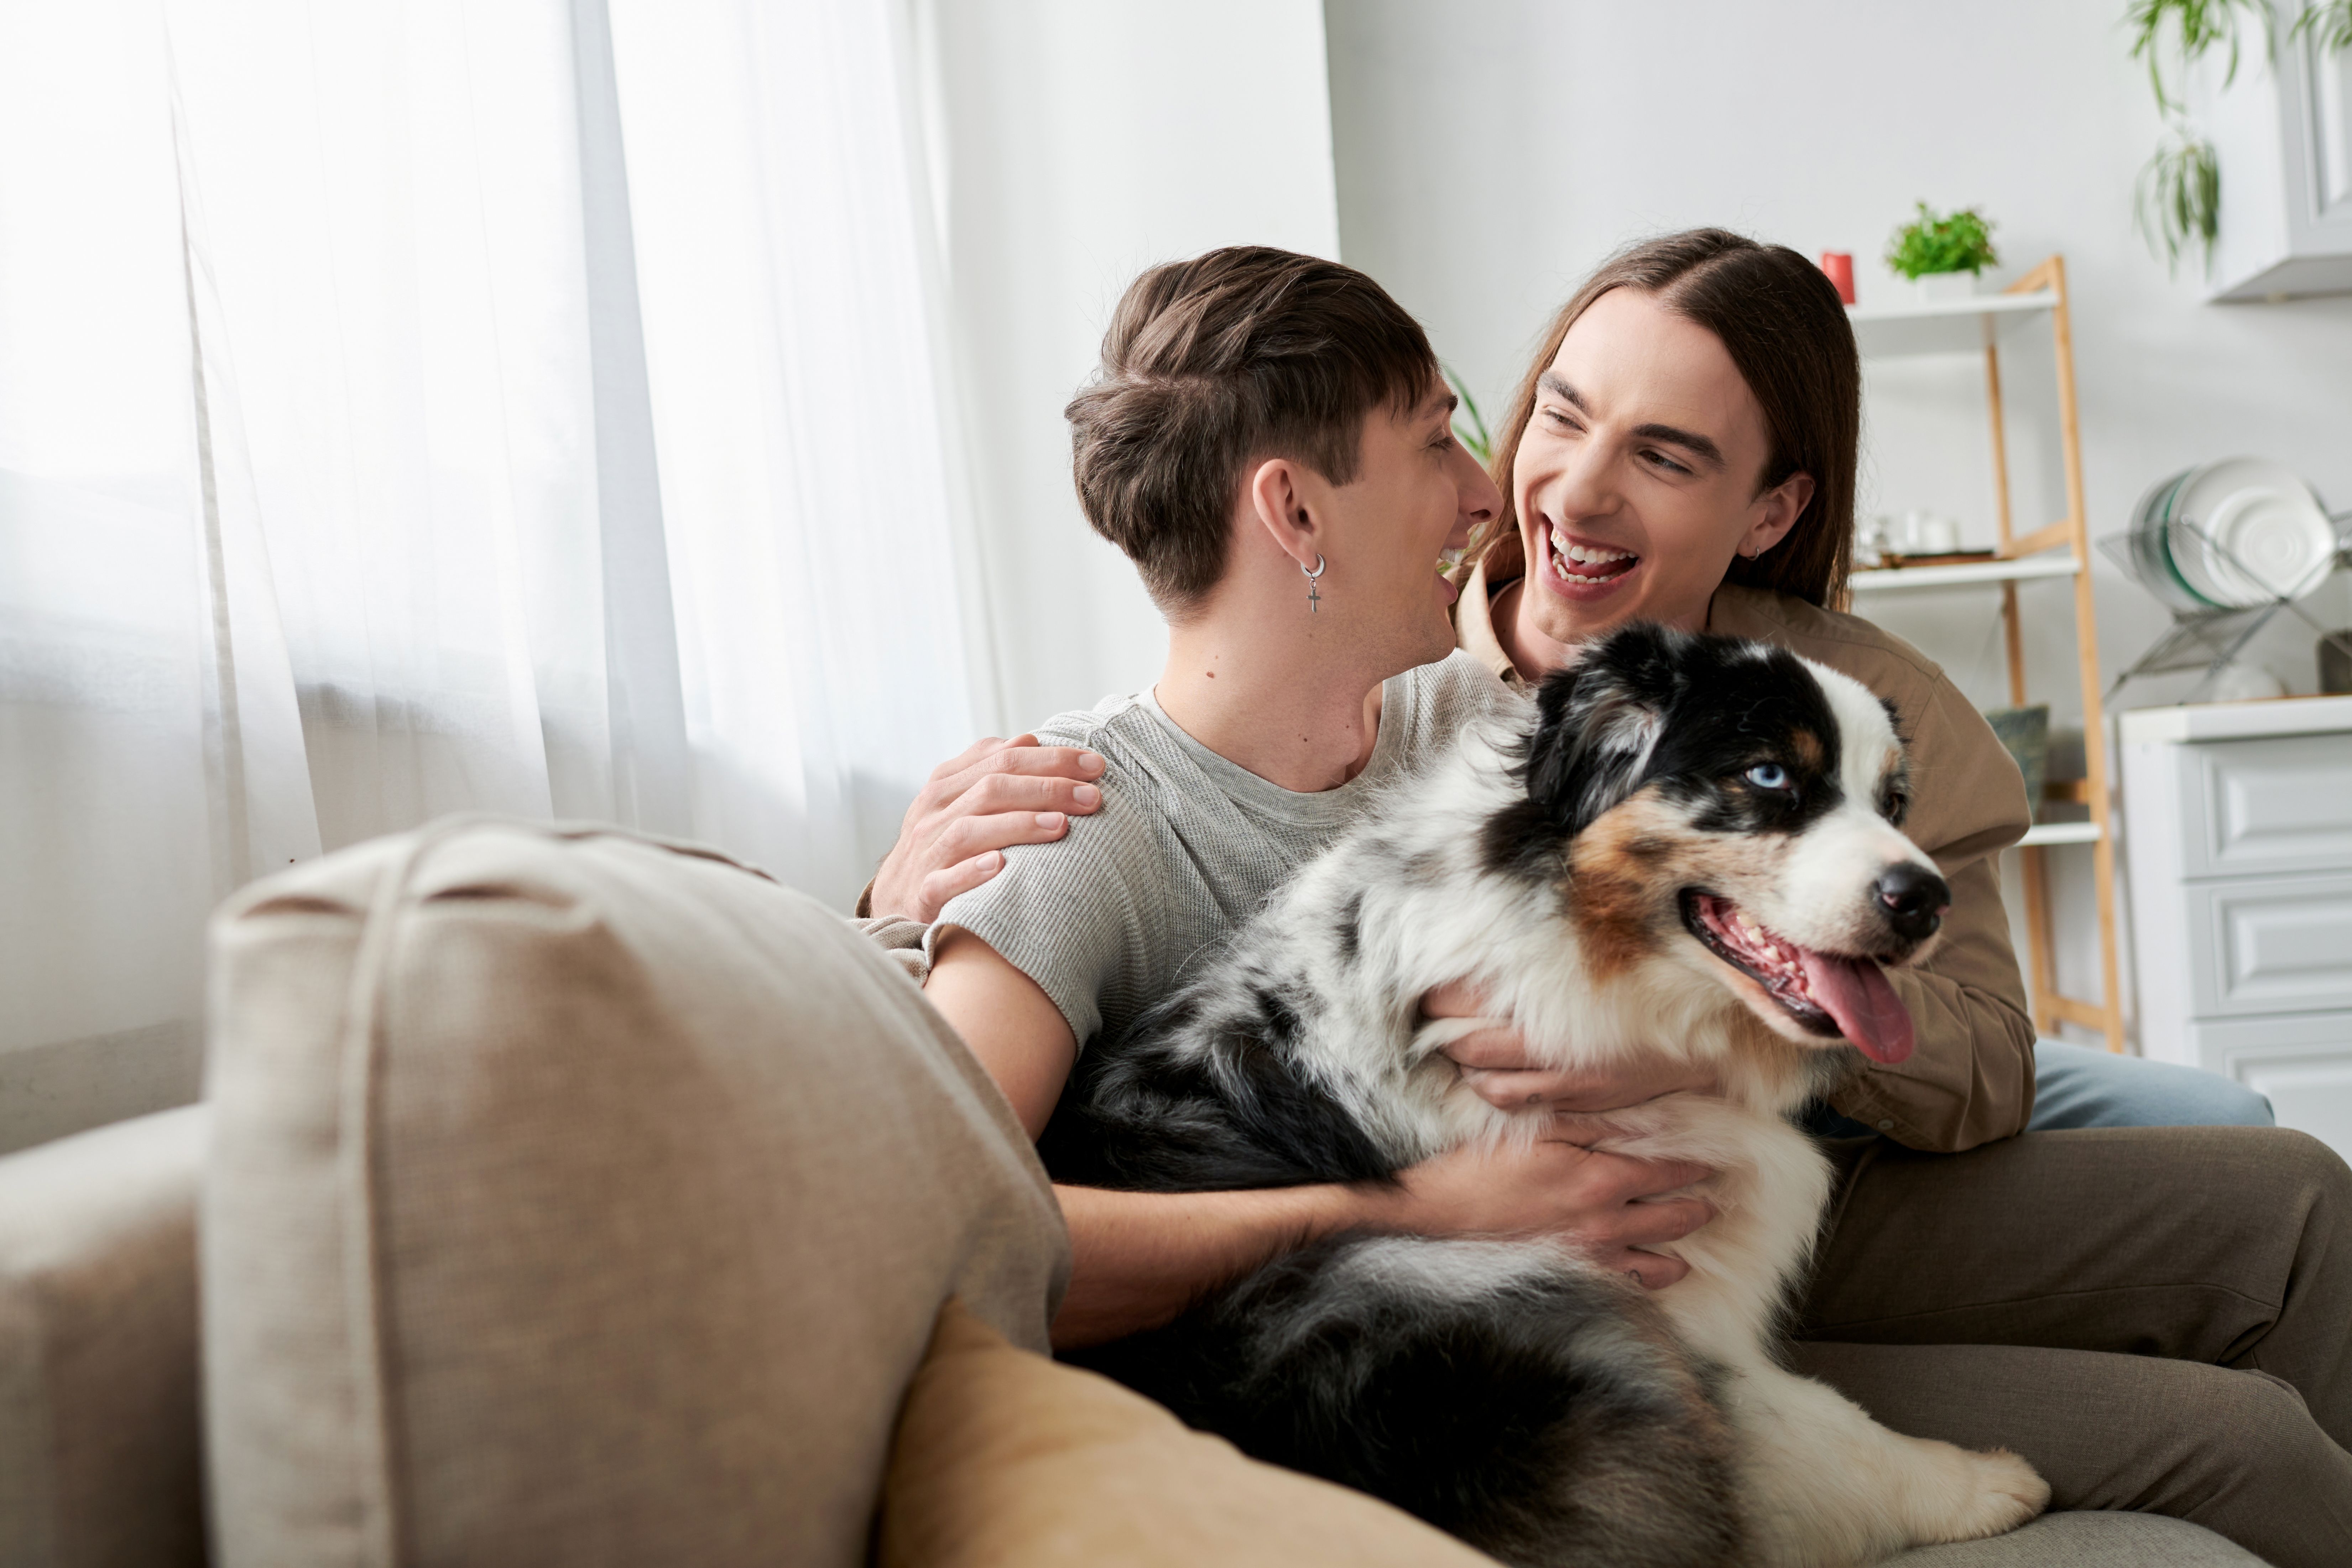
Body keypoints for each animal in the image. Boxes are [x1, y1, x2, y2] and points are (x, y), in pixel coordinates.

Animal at [1039, 625, 2051, 1568]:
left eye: (1892, 803)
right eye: (1767, 775)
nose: (1924, 899)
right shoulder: (1667, 1303)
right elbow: (1820, 1427)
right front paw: (1980, 1483)